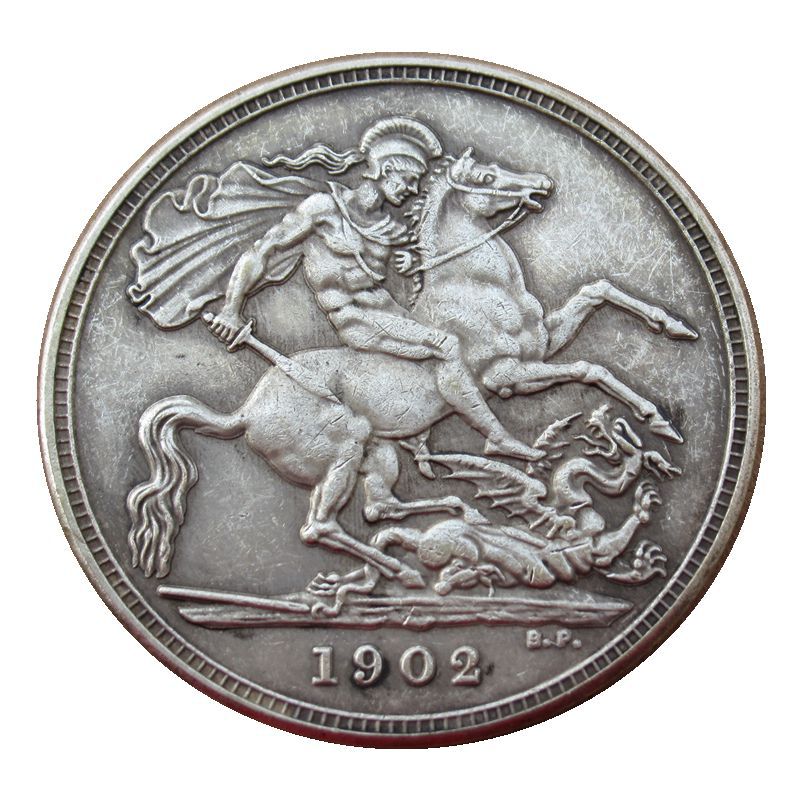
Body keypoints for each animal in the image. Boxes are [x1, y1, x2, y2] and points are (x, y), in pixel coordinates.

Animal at [126, 149, 694, 601]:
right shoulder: (507, 374)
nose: (541, 185)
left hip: (376, 454)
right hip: (343, 443)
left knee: (379, 510)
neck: (475, 283)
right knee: (319, 527)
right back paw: (405, 569)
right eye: (485, 176)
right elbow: (587, 368)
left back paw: (440, 524)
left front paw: (673, 331)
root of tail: (245, 412)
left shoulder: (545, 340)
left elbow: (598, 294)